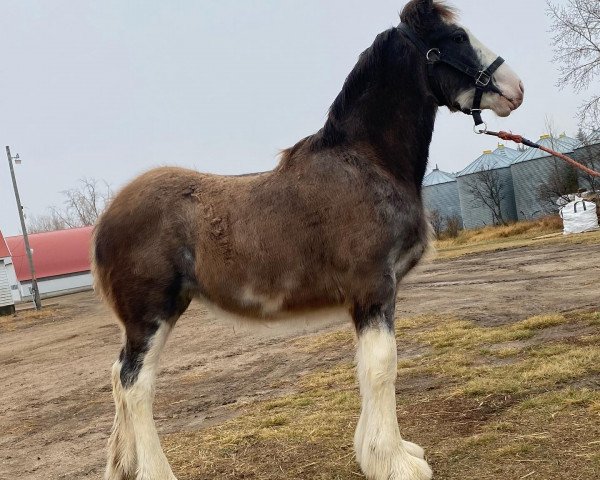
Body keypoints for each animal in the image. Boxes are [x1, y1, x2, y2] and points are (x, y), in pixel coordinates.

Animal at [92, 0, 520, 480]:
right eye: (457, 38)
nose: (515, 88)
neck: (366, 162)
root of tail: (106, 218)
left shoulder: (370, 298)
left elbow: (366, 368)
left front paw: (382, 453)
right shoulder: (374, 289)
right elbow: (381, 367)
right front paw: (394, 462)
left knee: (118, 377)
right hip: (152, 316)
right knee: (135, 386)